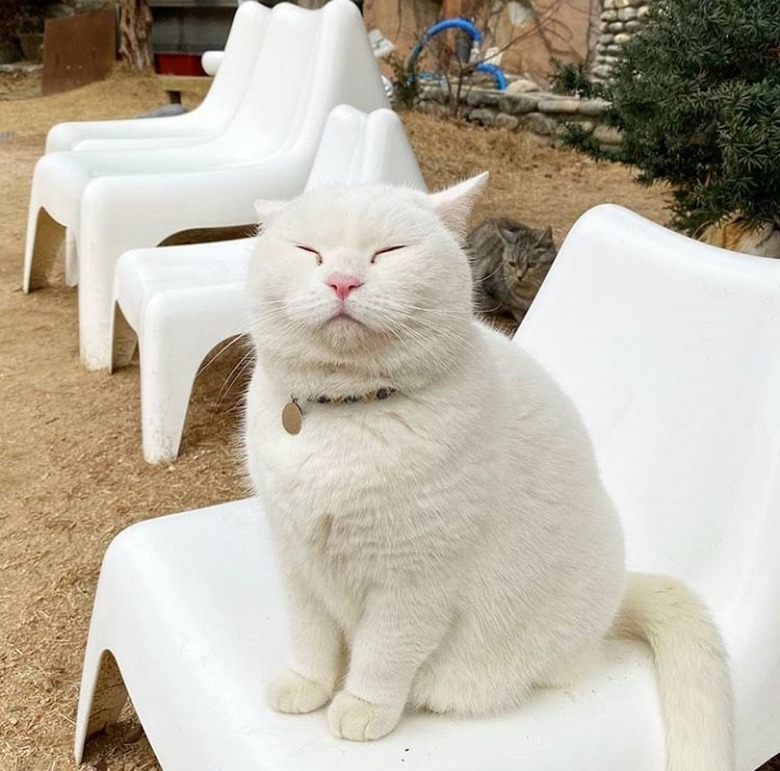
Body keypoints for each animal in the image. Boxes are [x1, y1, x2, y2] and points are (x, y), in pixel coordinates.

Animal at [242, 175, 732, 771]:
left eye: (389, 252)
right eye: (308, 251)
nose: (342, 280)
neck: (348, 414)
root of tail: (616, 598)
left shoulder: (415, 580)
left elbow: (384, 654)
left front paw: (362, 707)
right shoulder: (296, 558)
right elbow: (310, 636)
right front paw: (308, 684)